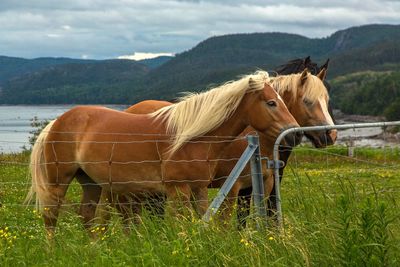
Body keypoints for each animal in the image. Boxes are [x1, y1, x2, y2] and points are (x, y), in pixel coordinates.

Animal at [25, 71, 300, 234]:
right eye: (271, 102)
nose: (295, 134)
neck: (190, 138)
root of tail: (57, 121)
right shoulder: (178, 191)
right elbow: (180, 224)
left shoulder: (199, 189)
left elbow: (202, 219)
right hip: (59, 182)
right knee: (51, 219)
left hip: (91, 182)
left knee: (87, 217)